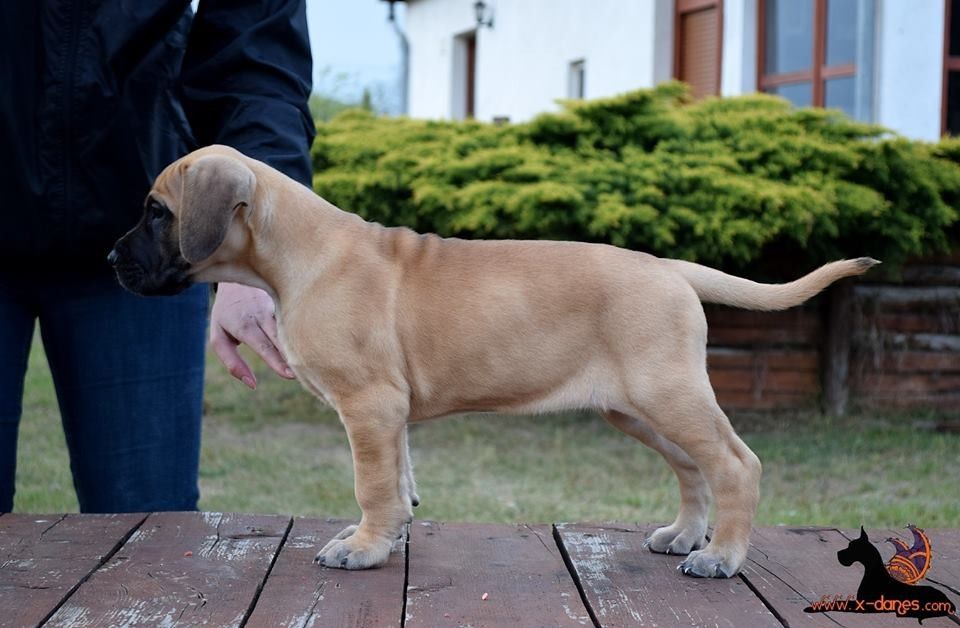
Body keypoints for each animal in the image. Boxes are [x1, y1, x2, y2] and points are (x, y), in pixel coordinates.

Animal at [109, 145, 878, 577]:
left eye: (157, 212)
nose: (111, 260)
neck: (300, 253)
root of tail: (670, 268)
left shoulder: (369, 406)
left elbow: (372, 484)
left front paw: (364, 548)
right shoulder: (389, 415)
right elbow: (399, 480)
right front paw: (390, 534)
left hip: (669, 395)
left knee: (736, 465)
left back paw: (720, 556)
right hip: (639, 409)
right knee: (695, 468)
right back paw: (685, 535)